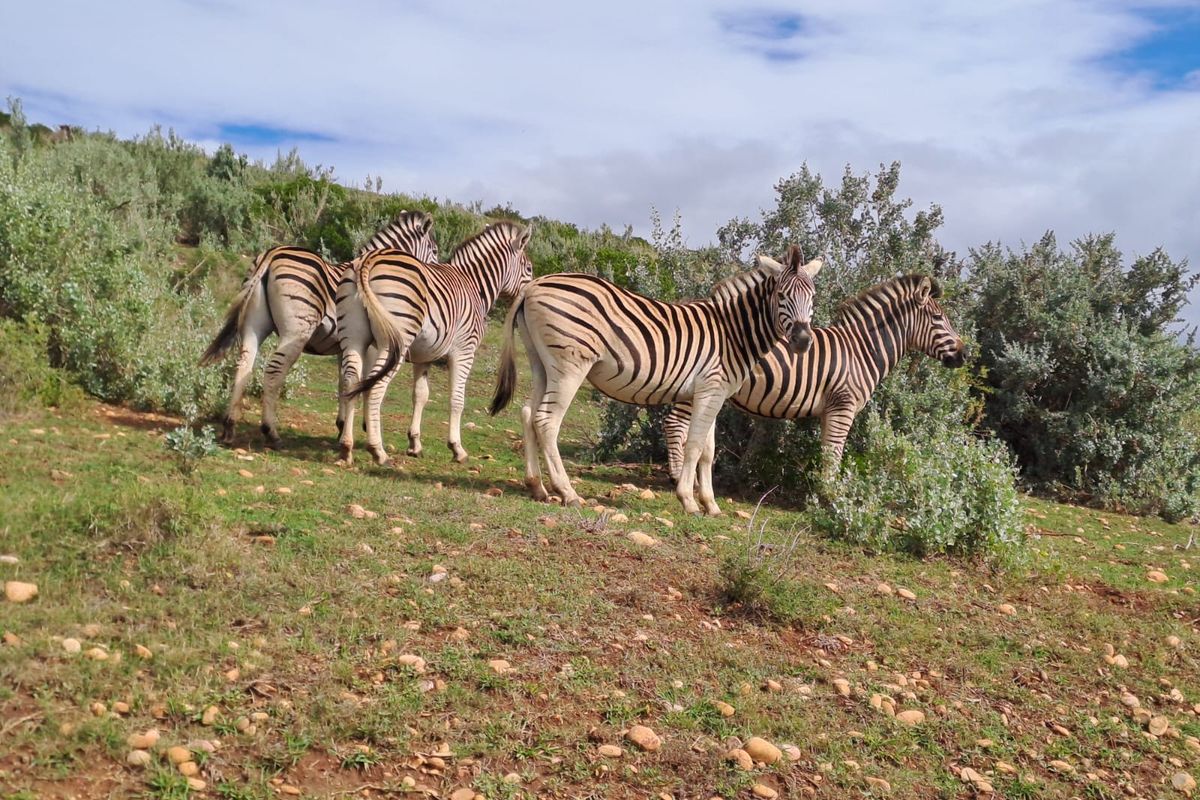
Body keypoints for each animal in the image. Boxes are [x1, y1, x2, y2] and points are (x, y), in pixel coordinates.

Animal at [199, 211, 439, 447]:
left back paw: (229, 427)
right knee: (274, 371)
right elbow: (365, 380)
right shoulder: (370, 346)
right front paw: (361, 426)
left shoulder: (344, 347)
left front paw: (342, 426)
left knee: (243, 366)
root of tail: (272, 254)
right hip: (296, 331)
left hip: (253, 325)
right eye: (435, 250)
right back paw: (271, 432)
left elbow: (344, 382)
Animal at [338, 220, 534, 466]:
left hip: (355, 338)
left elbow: (420, 395)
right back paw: (378, 451)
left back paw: (346, 447)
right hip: (393, 342)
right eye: (529, 269)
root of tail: (369, 259)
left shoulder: (425, 356)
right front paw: (457, 448)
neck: (474, 286)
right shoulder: (464, 351)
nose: (527, 302)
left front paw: (414, 444)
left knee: (351, 382)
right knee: (374, 386)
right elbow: (457, 399)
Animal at [488, 245, 823, 516]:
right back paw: (567, 492)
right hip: (570, 365)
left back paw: (537, 486)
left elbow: (708, 452)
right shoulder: (709, 389)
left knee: (528, 413)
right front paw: (689, 500)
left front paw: (711, 505)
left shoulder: (714, 394)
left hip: (542, 364)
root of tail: (533, 286)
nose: (803, 341)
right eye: (781, 295)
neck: (733, 334)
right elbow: (694, 446)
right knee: (547, 421)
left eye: (812, 297)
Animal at [662, 272, 966, 483]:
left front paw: (823, 491)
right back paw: (677, 475)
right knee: (675, 423)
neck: (861, 350)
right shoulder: (843, 406)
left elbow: (826, 452)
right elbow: (834, 454)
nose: (965, 355)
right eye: (938, 319)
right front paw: (830, 498)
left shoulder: (829, 410)